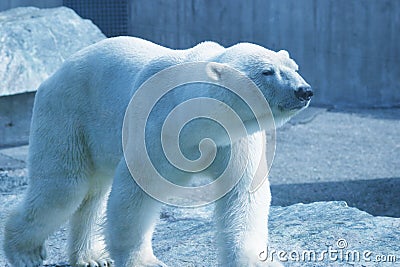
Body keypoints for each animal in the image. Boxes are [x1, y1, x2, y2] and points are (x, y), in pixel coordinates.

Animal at [2, 36, 312, 267]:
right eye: (267, 71)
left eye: (293, 66)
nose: (304, 91)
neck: (200, 120)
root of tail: (52, 76)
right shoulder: (158, 127)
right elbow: (136, 192)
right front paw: (142, 260)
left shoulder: (234, 138)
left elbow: (243, 193)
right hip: (67, 114)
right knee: (64, 188)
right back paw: (25, 253)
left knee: (91, 193)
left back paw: (91, 256)